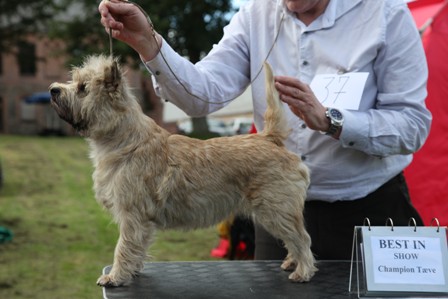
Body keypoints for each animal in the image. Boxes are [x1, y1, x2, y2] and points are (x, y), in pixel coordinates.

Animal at [49, 55, 316, 288]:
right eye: (74, 81)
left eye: (82, 88)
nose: (53, 89)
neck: (125, 140)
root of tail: (269, 138)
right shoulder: (139, 220)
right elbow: (136, 248)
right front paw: (132, 271)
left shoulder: (132, 215)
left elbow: (123, 247)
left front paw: (115, 276)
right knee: (294, 239)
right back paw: (292, 263)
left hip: (276, 209)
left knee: (302, 238)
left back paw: (303, 271)